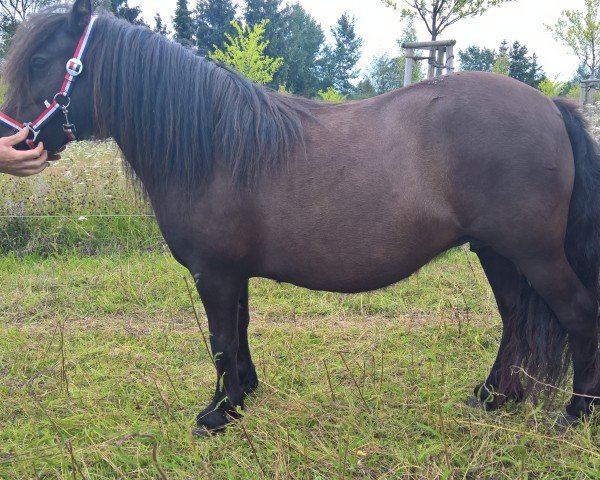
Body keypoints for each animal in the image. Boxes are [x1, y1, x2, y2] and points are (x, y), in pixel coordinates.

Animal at [1, 0, 600, 436]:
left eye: (40, 63)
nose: (13, 140)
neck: (215, 147)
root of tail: (551, 107)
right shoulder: (232, 273)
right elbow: (239, 332)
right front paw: (243, 396)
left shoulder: (214, 273)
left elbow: (220, 337)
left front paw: (217, 414)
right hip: (496, 251)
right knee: (516, 320)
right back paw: (493, 398)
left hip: (534, 253)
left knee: (576, 314)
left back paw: (575, 414)